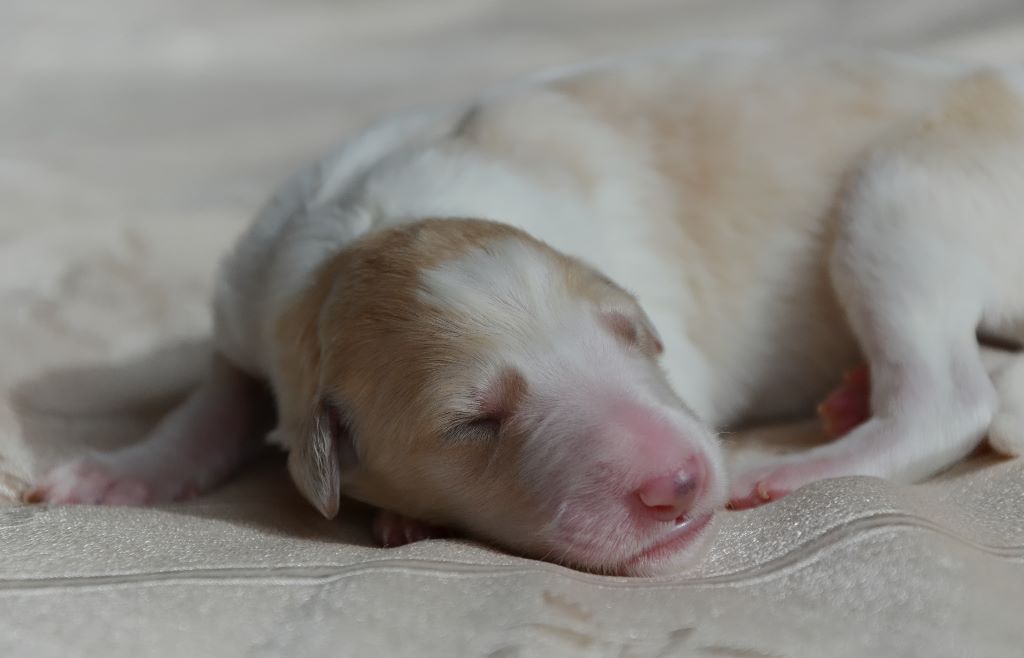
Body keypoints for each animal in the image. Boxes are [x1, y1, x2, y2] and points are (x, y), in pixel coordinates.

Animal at [22, 42, 1024, 577]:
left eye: (630, 337)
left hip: (905, 197)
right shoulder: (248, 316)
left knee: (945, 396)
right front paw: (117, 471)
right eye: (473, 421)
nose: (683, 482)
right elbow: (210, 403)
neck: (371, 226)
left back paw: (808, 463)